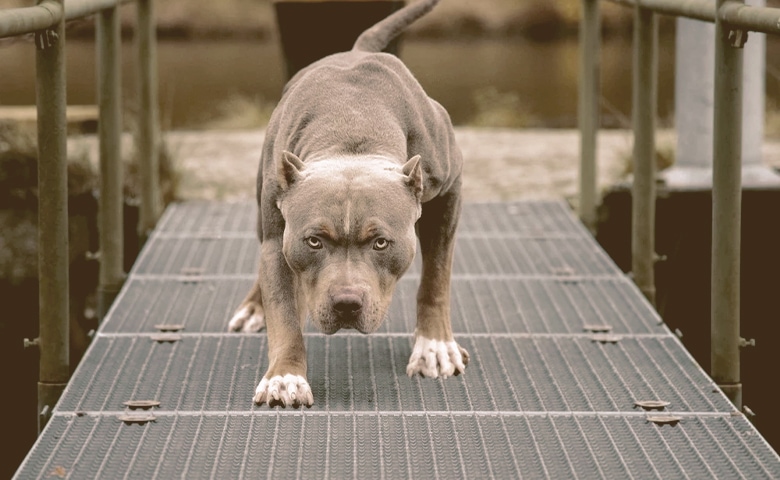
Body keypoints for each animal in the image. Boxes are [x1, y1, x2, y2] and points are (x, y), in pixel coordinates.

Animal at [229, 0, 466, 406]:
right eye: (314, 241)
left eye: (381, 242)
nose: (346, 304)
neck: (352, 129)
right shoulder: (279, 239)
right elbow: (284, 312)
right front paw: (285, 377)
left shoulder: (449, 190)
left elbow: (436, 277)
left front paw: (434, 345)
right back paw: (255, 308)